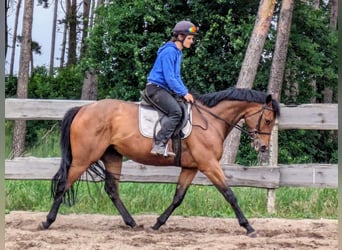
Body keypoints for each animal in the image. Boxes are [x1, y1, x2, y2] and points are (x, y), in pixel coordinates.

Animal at [40, 87, 280, 236]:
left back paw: (132, 223)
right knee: (64, 184)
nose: (263, 147)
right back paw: (47, 221)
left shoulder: (191, 167)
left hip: (112, 156)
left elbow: (178, 197)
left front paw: (157, 224)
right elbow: (229, 194)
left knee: (112, 189)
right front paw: (248, 227)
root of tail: (83, 108)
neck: (211, 120)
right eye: (268, 120)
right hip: (83, 158)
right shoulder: (209, 165)